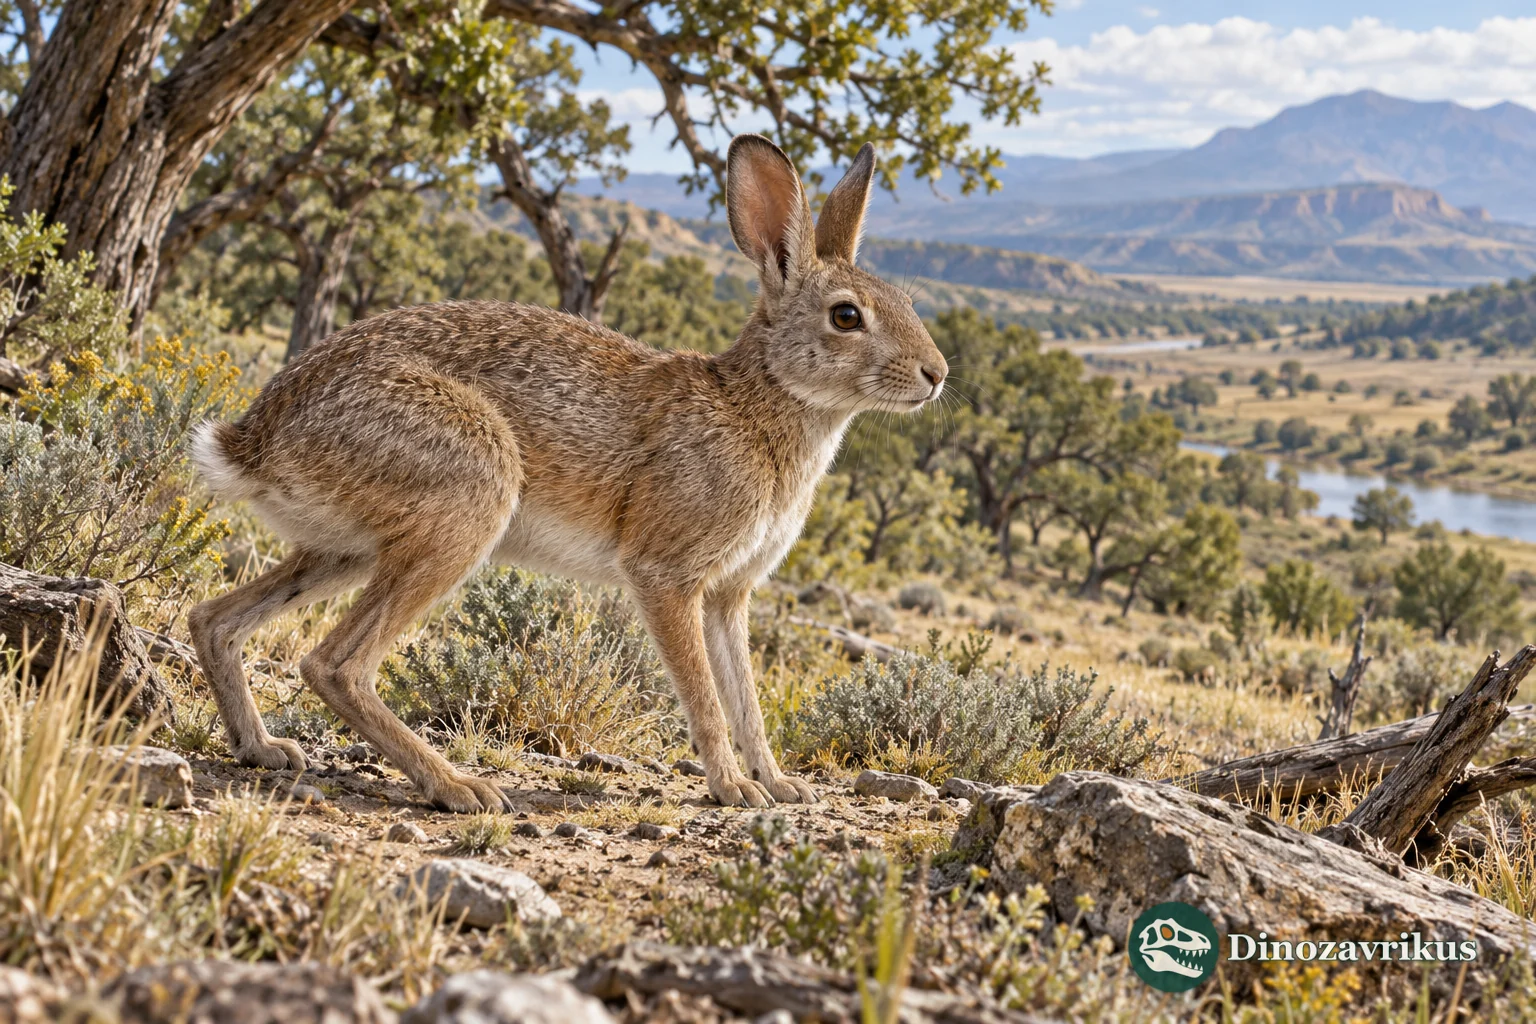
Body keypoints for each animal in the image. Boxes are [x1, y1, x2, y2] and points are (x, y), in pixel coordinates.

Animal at [187, 134, 948, 811]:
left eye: (909, 305)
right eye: (846, 316)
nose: (936, 374)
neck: (759, 404)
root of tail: (260, 439)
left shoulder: (730, 594)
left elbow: (746, 696)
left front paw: (780, 785)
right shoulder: (667, 574)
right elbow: (704, 695)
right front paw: (734, 790)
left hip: (348, 548)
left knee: (216, 620)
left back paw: (264, 748)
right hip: (466, 501)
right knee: (336, 666)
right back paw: (458, 788)